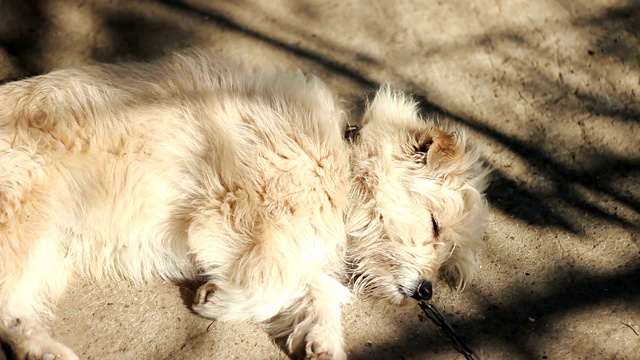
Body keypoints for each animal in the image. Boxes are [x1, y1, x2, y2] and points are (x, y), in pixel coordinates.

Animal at [1, 51, 490, 360]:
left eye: (447, 256)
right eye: (434, 226)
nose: (426, 292)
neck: (340, 164)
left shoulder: (291, 241)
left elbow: (317, 287)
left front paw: (323, 339)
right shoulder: (236, 222)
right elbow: (274, 285)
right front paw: (218, 302)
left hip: (48, 250)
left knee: (14, 311)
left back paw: (42, 350)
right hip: (23, 227)